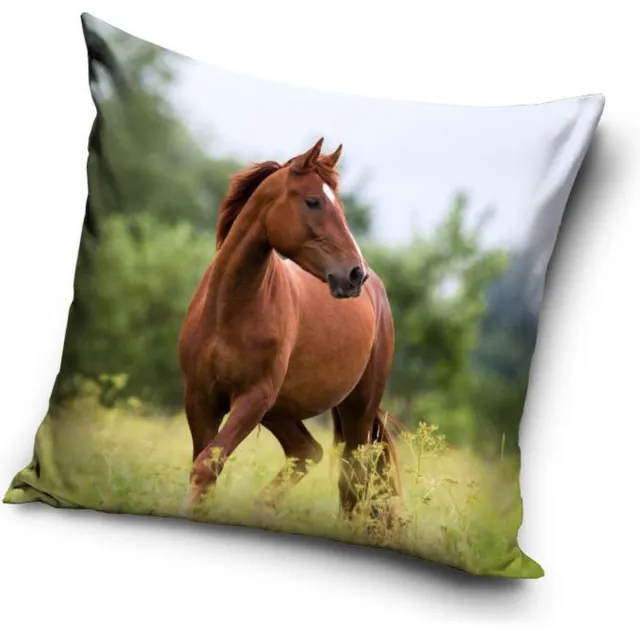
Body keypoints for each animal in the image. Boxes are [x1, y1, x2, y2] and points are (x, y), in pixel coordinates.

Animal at [178, 137, 401, 524]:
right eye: (313, 201)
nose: (354, 274)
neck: (228, 312)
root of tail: (378, 293)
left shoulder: (253, 398)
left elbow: (207, 465)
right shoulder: (201, 398)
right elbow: (204, 467)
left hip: (356, 408)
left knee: (353, 478)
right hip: (281, 410)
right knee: (307, 451)